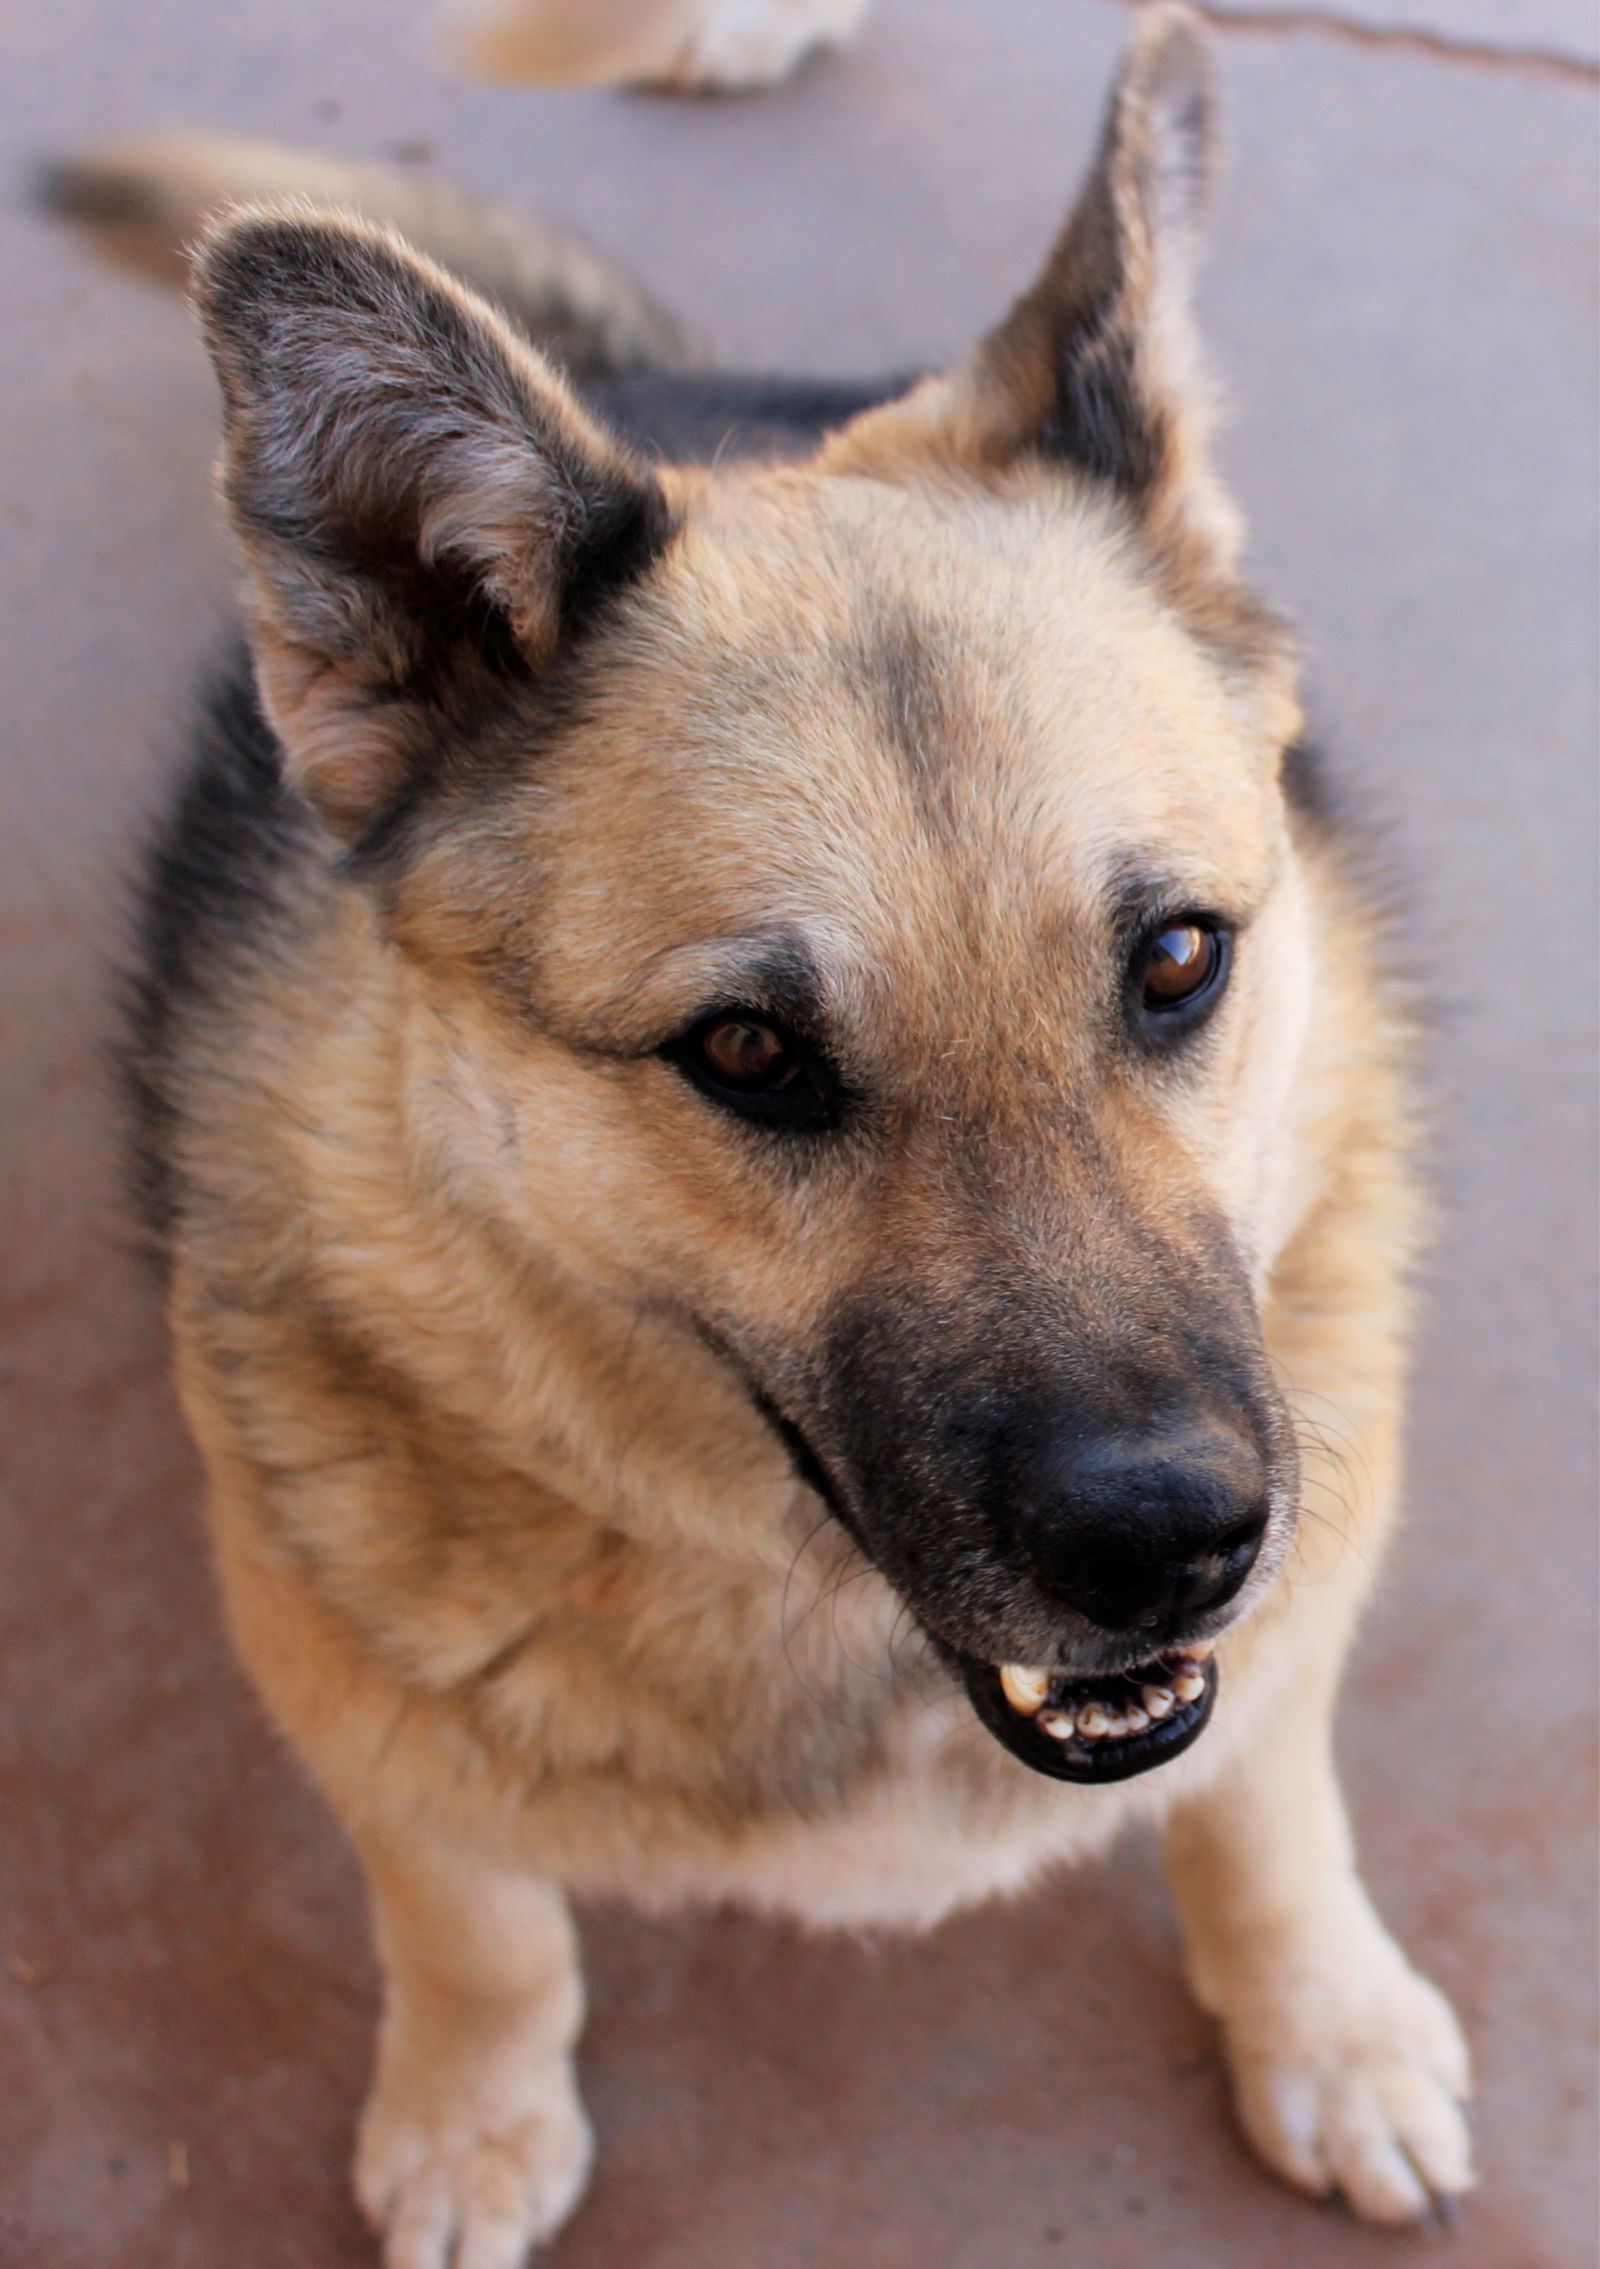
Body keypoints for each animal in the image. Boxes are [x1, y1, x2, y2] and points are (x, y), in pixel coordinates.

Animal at [49, 8, 1470, 2259]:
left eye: (1175, 956)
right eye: (744, 1051)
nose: (1168, 1546)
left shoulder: (1282, 1625)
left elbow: (1261, 1798)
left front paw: (1320, 2018)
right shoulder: (356, 1707)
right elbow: (471, 1920)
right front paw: (469, 2109)